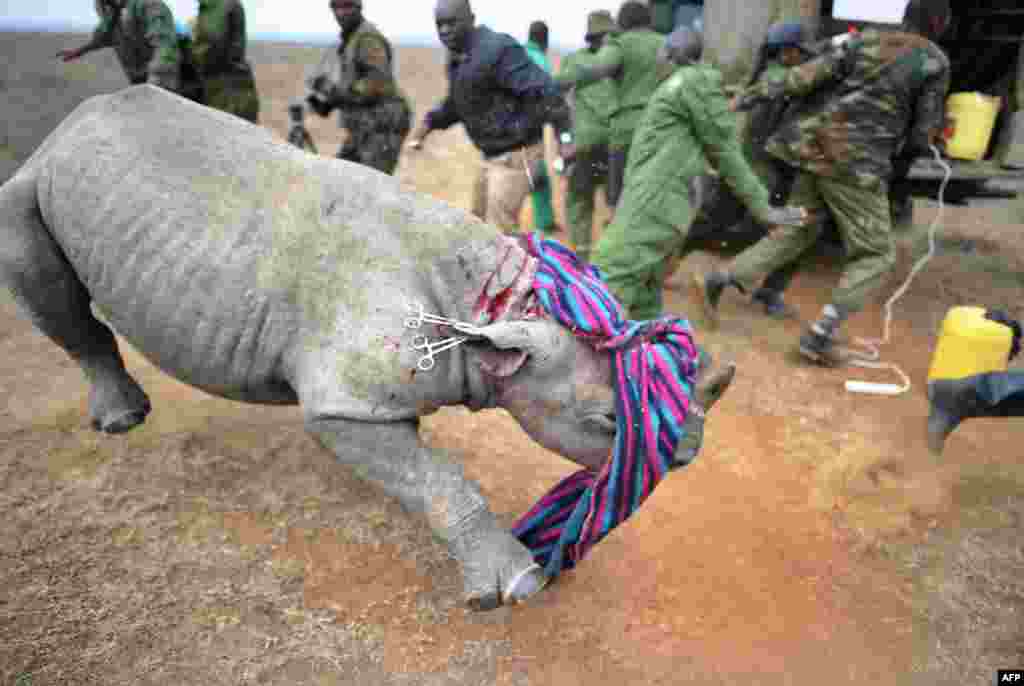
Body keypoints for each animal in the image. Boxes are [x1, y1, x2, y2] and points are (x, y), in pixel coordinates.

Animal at [4, 87, 733, 614]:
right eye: (606, 422)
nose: (691, 453)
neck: (492, 302)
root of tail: (70, 123)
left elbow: (425, 472)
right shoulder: (347, 406)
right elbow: (440, 479)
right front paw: (516, 585)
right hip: (32, 183)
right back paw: (123, 421)